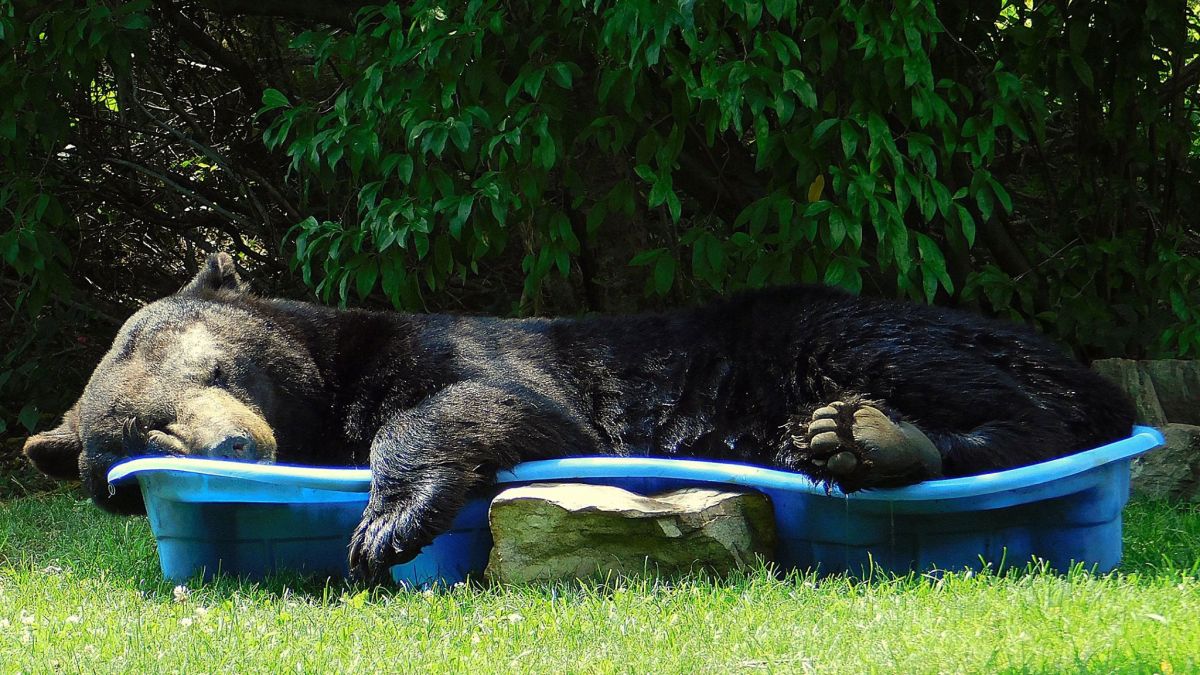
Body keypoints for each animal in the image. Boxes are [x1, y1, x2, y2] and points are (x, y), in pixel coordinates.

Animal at [25, 252, 1132, 578]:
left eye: (214, 367)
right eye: (132, 441)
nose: (231, 444)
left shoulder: (462, 348)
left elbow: (498, 404)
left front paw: (387, 522)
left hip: (845, 330)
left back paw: (871, 434)